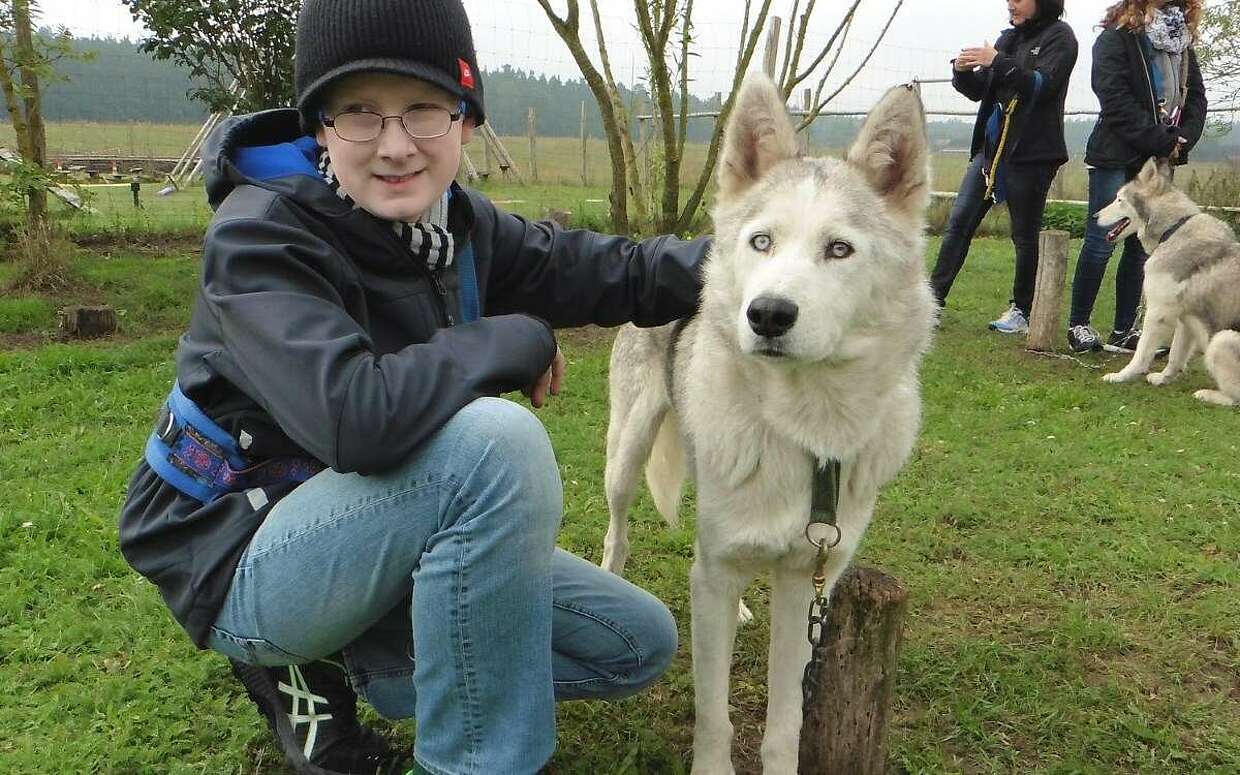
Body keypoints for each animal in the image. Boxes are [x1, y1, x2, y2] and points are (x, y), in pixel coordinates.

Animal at [597, 74, 932, 773]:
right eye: (762, 242)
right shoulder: (717, 575)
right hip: (627, 454)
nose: (769, 314)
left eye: (839, 249)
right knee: (618, 532)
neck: (808, 426)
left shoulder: (809, 583)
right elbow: (713, 713)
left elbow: (785, 723)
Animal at [1096, 158, 1240, 411]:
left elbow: (1142, 353)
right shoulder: (1185, 318)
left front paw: (1122, 376)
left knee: (1235, 399)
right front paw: (1164, 378)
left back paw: (1207, 394)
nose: (1094, 216)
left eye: (1119, 199)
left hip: (1222, 340)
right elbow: (1175, 356)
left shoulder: (1157, 313)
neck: (1172, 230)